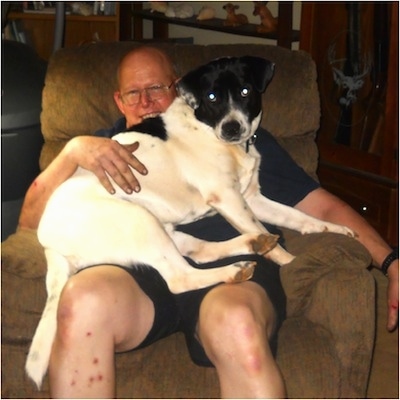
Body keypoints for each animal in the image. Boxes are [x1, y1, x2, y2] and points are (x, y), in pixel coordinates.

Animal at [26, 56, 354, 388]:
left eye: (246, 91)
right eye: (212, 97)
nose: (232, 128)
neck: (209, 129)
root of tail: (47, 243)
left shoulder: (252, 198)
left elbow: (299, 217)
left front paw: (335, 230)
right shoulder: (228, 198)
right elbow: (272, 242)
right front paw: (290, 262)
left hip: (168, 232)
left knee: (202, 253)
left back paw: (252, 245)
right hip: (140, 223)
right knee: (179, 277)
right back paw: (236, 268)